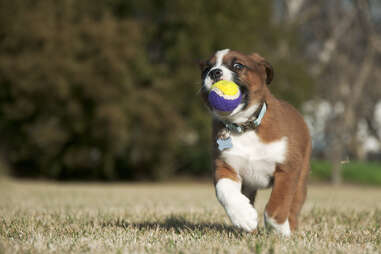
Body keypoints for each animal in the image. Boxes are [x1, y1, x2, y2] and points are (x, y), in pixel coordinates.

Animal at [199, 49, 308, 236]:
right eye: (207, 68)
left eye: (238, 65)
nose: (214, 72)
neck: (244, 126)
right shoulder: (224, 166)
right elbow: (224, 191)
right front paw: (243, 217)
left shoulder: (288, 169)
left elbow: (277, 204)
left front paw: (279, 230)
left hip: (301, 177)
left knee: (294, 205)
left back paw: (291, 228)